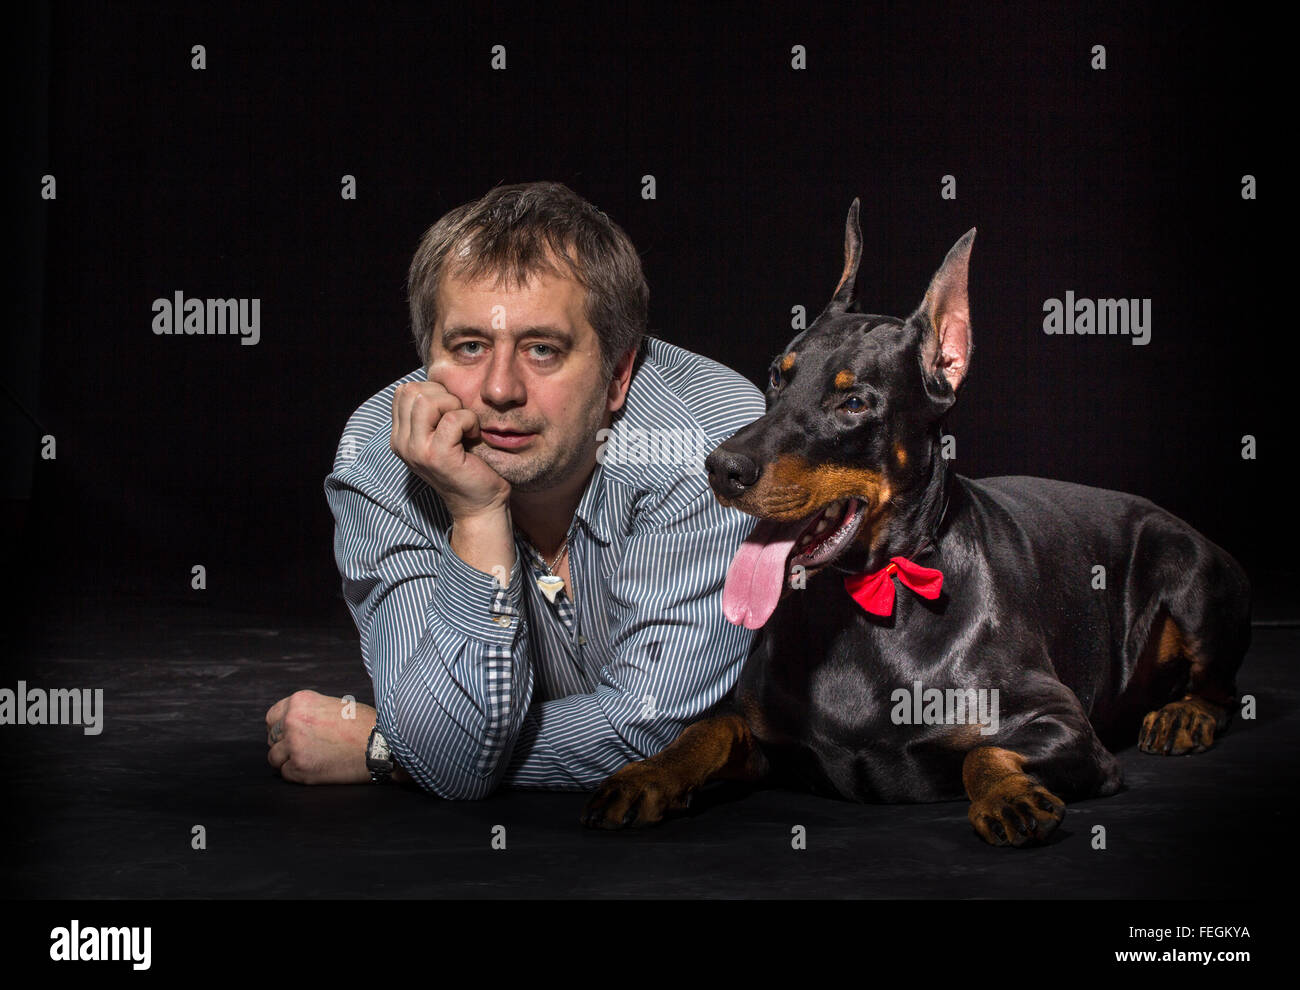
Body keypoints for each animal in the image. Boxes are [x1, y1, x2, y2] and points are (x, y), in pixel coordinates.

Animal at [579, 198, 1248, 841]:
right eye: (776, 375)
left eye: (853, 402)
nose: (721, 467)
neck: (868, 597)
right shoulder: (768, 736)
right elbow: (709, 729)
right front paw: (646, 775)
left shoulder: (1061, 724)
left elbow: (983, 753)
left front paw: (1010, 796)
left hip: (1187, 569)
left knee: (1221, 688)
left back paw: (1184, 714)